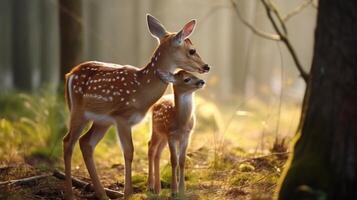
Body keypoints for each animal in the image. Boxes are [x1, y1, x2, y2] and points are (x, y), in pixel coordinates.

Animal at [63, 13, 210, 199]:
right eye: (192, 50)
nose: (206, 66)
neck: (141, 90)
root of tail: (69, 74)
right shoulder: (122, 118)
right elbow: (129, 151)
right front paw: (128, 193)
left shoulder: (118, 119)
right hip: (78, 111)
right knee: (68, 142)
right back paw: (70, 194)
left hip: (102, 120)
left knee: (86, 143)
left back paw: (102, 194)